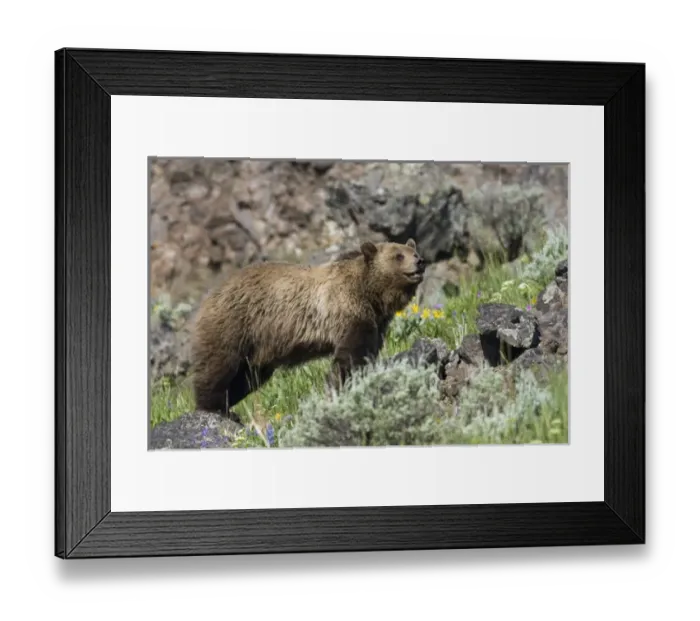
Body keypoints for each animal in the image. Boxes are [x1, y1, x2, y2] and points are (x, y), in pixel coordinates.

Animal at [190, 239, 426, 418]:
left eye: (414, 251)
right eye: (398, 255)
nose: (420, 261)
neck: (370, 294)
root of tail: (211, 295)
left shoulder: (376, 322)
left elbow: (367, 351)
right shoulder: (348, 311)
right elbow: (350, 357)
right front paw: (340, 387)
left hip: (258, 350)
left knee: (246, 379)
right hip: (236, 323)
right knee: (219, 363)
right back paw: (216, 407)